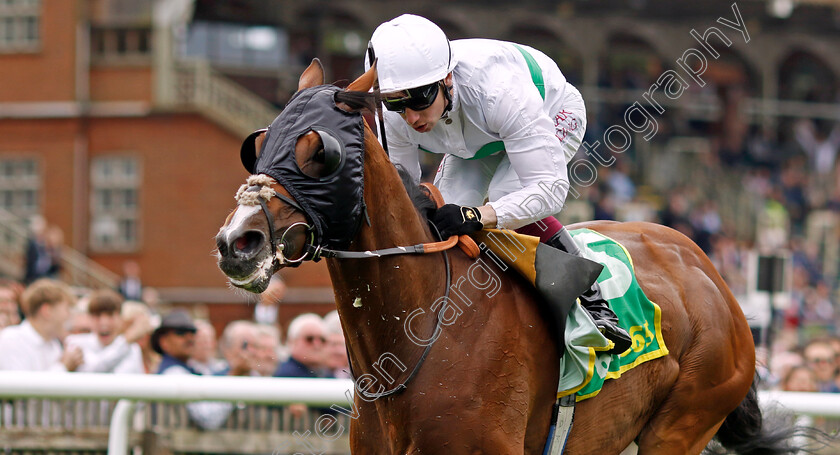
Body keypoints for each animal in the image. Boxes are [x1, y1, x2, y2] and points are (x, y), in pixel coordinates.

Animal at [217, 60, 808, 455]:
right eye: (258, 144)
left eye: (320, 153)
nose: (236, 243)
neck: (425, 333)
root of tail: (711, 274)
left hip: (683, 422)